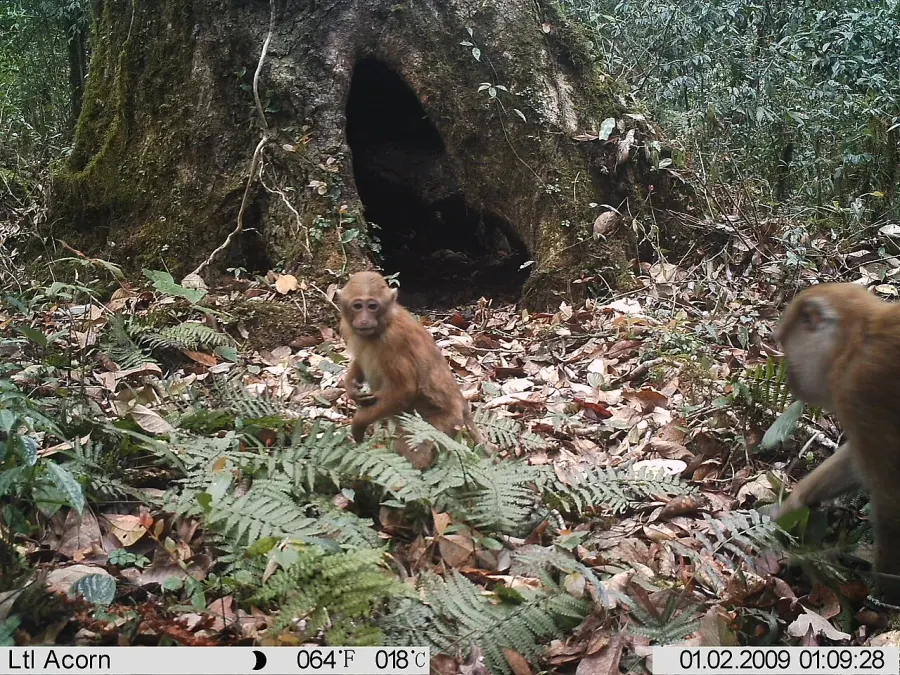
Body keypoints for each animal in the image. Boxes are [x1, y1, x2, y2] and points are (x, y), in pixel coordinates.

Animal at [335, 271, 483, 469]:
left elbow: (404, 390)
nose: (364, 319)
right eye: (358, 306)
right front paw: (350, 387)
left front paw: (359, 422)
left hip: (440, 424)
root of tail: (462, 404)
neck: (384, 324)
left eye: (372, 306)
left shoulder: (393, 341)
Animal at [771, 282, 900, 603]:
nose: (790, 377)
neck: (856, 341)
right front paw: (796, 503)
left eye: (786, 344)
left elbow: (890, 496)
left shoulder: (857, 390)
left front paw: (886, 596)